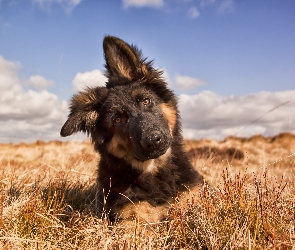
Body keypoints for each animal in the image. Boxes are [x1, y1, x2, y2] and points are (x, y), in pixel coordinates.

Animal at [60, 36, 204, 222]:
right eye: (117, 119)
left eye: (146, 101)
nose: (153, 141)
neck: (153, 170)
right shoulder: (130, 216)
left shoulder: (193, 194)